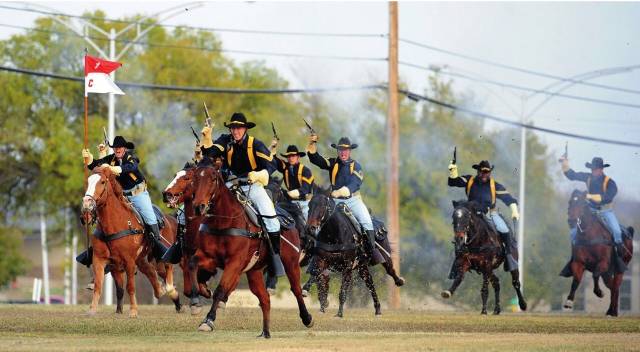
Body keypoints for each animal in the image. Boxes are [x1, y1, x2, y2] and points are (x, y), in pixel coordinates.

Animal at [80, 166, 180, 318]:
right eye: (89, 181)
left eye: (102, 182)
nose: (87, 204)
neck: (116, 225)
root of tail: (169, 219)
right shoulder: (101, 260)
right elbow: (99, 285)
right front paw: (92, 309)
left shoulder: (129, 261)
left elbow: (130, 287)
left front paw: (133, 310)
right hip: (142, 259)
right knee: (151, 271)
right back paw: (162, 291)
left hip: (162, 254)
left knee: (166, 270)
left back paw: (170, 291)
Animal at [162, 166, 218, 314]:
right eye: (174, 175)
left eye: (187, 178)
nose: (166, 194)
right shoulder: (186, 259)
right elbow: (188, 289)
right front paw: (201, 295)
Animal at [189, 161, 314, 336]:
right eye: (194, 179)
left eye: (213, 179)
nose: (198, 207)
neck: (224, 221)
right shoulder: (209, 257)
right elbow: (193, 264)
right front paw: (201, 294)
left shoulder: (234, 263)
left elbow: (220, 290)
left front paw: (208, 320)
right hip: (254, 272)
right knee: (265, 299)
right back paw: (265, 333)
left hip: (291, 264)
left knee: (295, 290)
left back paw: (307, 318)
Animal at [306, 192, 384, 320]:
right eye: (309, 205)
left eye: (323, 206)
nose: (310, 228)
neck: (334, 235)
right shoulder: (321, 261)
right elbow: (315, 275)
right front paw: (309, 292)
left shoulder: (347, 267)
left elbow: (342, 291)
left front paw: (339, 313)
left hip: (362, 266)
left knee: (370, 283)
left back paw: (378, 309)